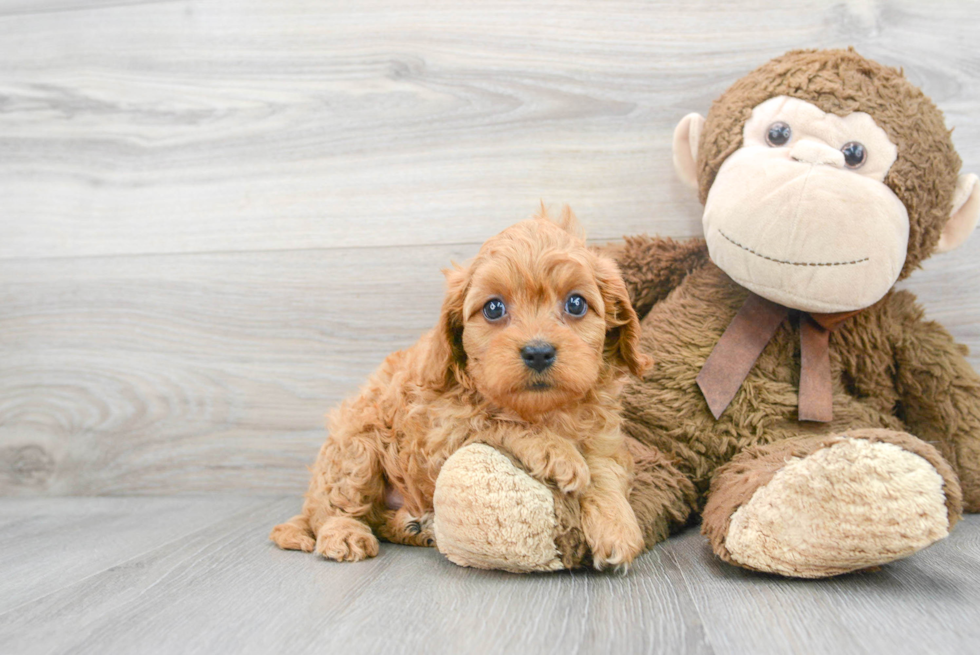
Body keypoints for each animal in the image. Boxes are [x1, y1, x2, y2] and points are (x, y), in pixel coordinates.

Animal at [268, 209, 652, 568]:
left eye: (575, 303)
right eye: (494, 308)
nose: (538, 352)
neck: (543, 410)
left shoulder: (602, 435)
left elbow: (604, 471)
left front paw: (617, 526)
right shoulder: (440, 431)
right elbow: (498, 421)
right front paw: (557, 452)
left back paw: (414, 527)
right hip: (356, 447)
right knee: (333, 508)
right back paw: (345, 533)